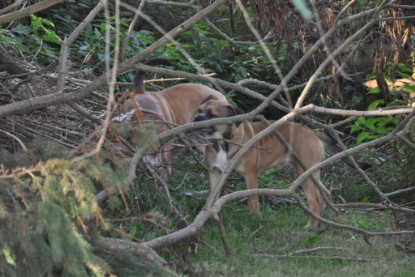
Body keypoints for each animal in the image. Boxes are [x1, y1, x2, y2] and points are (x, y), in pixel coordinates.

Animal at [192, 96, 370, 226]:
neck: (222, 143)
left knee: (315, 201)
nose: (195, 118)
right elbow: (212, 197)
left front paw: (255, 220)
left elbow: (252, 201)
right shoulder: (214, 173)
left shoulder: (250, 176)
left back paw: (311, 227)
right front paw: (212, 217)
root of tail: (313, 131)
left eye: (212, 115)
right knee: (324, 193)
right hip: (312, 172)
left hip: (304, 173)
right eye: (199, 110)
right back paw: (321, 221)